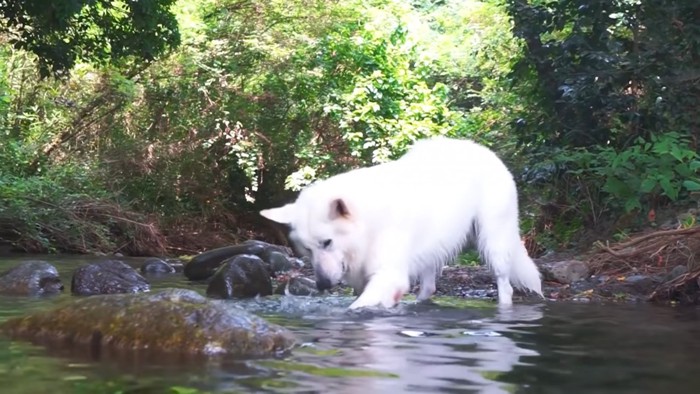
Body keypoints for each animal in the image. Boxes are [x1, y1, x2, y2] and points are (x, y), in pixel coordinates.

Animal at [260, 137, 544, 310]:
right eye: (307, 250)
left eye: (327, 242)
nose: (322, 285)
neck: (369, 223)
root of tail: (485, 151)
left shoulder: (388, 274)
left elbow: (358, 306)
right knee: (429, 287)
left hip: (493, 241)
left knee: (505, 285)